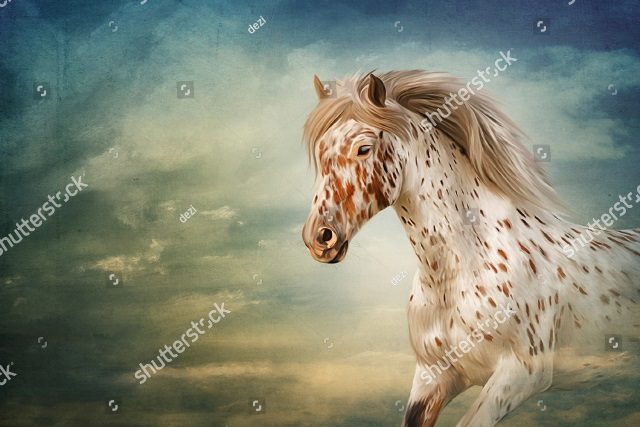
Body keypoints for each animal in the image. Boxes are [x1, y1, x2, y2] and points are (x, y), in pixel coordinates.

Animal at [300, 71, 640, 426]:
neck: (458, 275)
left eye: (364, 148)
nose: (319, 238)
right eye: (321, 152)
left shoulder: (520, 375)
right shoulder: (432, 378)